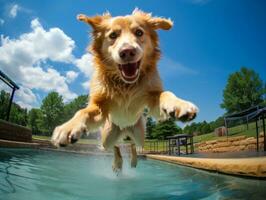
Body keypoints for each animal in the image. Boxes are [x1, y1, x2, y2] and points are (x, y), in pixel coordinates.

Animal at [51, 9, 197, 172]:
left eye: (139, 32)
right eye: (113, 35)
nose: (127, 51)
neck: (126, 84)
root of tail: (125, 129)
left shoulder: (153, 99)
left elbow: (165, 93)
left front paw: (179, 104)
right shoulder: (99, 106)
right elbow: (82, 111)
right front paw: (68, 127)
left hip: (140, 134)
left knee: (133, 144)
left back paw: (133, 159)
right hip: (107, 136)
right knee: (114, 146)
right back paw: (118, 162)